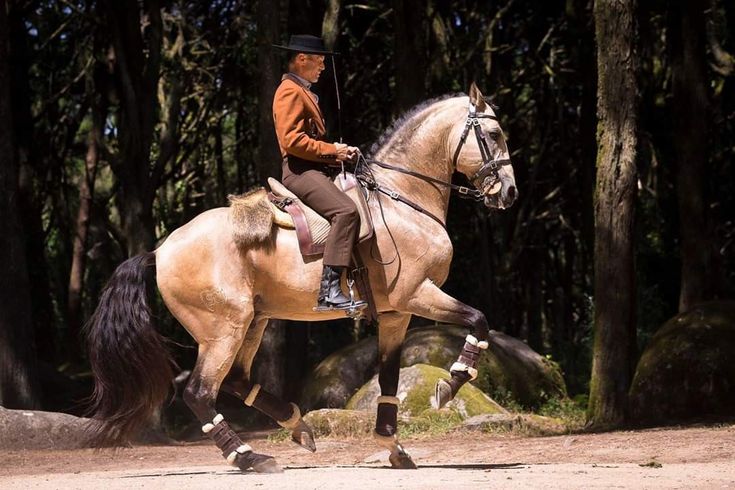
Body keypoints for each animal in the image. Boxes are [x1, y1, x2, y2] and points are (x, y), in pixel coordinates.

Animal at [85, 82, 516, 472]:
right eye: (494, 135)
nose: (509, 193)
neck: (402, 200)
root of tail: (160, 250)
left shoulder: (397, 314)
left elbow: (390, 380)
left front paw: (393, 447)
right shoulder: (416, 295)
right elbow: (479, 320)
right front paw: (450, 384)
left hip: (253, 322)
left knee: (236, 381)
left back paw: (298, 426)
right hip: (223, 328)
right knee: (200, 392)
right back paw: (249, 457)